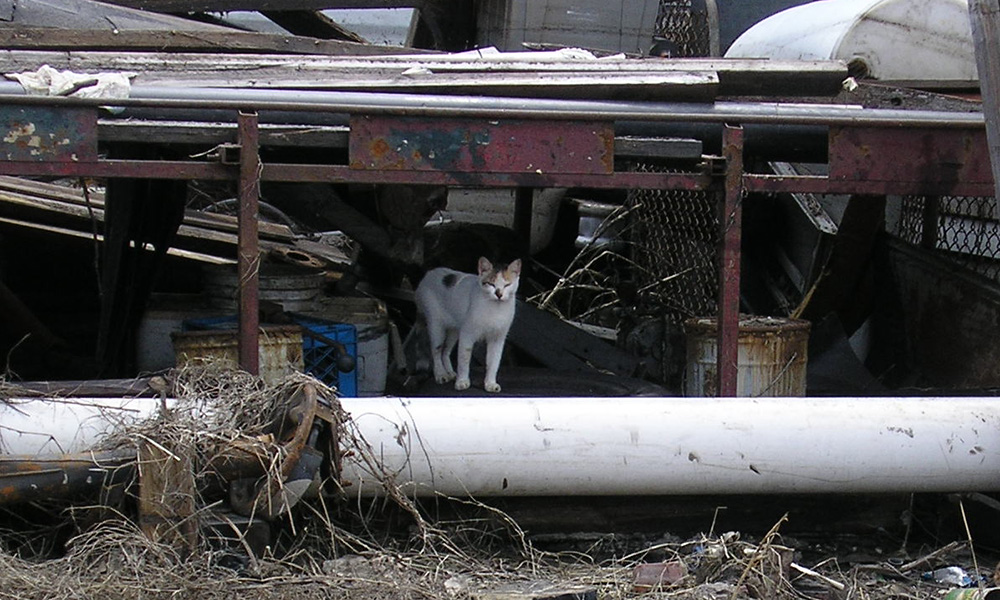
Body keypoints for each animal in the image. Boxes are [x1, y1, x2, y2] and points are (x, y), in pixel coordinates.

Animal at [414, 256, 524, 394]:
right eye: (491, 284)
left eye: (507, 284)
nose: (499, 294)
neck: (495, 309)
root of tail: (427, 275)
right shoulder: (467, 335)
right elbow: (464, 360)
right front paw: (462, 382)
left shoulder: (497, 339)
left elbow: (493, 363)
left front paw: (490, 384)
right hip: (436, 327)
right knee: (436, 352)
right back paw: (441, 374)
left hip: (454, 331)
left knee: (445, 351)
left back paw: (450, 373)